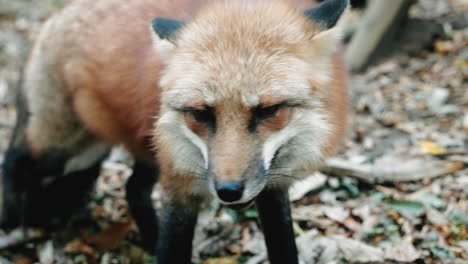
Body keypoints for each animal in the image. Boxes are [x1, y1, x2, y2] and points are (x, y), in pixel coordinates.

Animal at [0, 0, 348, 262]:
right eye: (201, 113)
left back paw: (149, 239)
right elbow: (173, 248)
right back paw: (10, 222)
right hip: (61, 146)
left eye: (268, 111)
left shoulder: (273, 187)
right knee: (14, 161)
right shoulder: (180, 185)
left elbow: (284, 246)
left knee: (133, 189)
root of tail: (59, 14)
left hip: (125, 153)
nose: (228, 191)